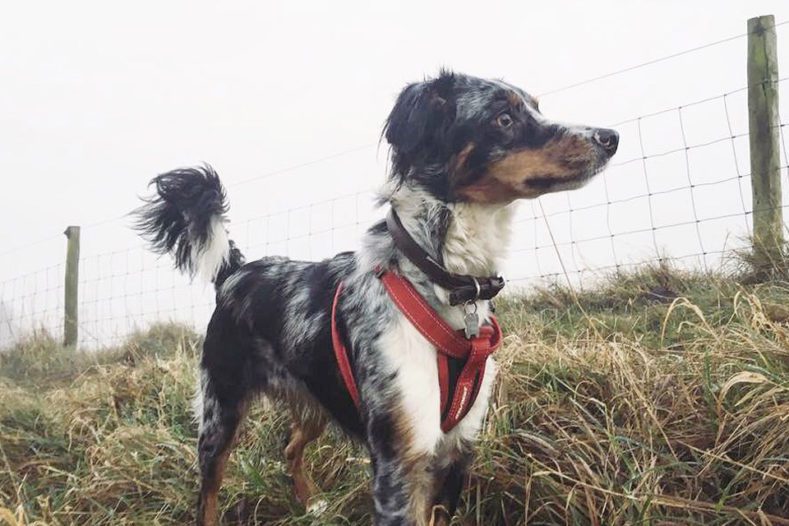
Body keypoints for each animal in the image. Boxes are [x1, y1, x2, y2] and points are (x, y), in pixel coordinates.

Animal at [134, 71, 616, 526]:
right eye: (503, 117)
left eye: (536, 108)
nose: (610, 137)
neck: (443, 281)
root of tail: (236, 270)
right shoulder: (400, 460)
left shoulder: (457, 450)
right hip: (221, 412)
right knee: (208, 490)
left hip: (314, 399)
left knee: (289, 447)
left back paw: (311, 505)